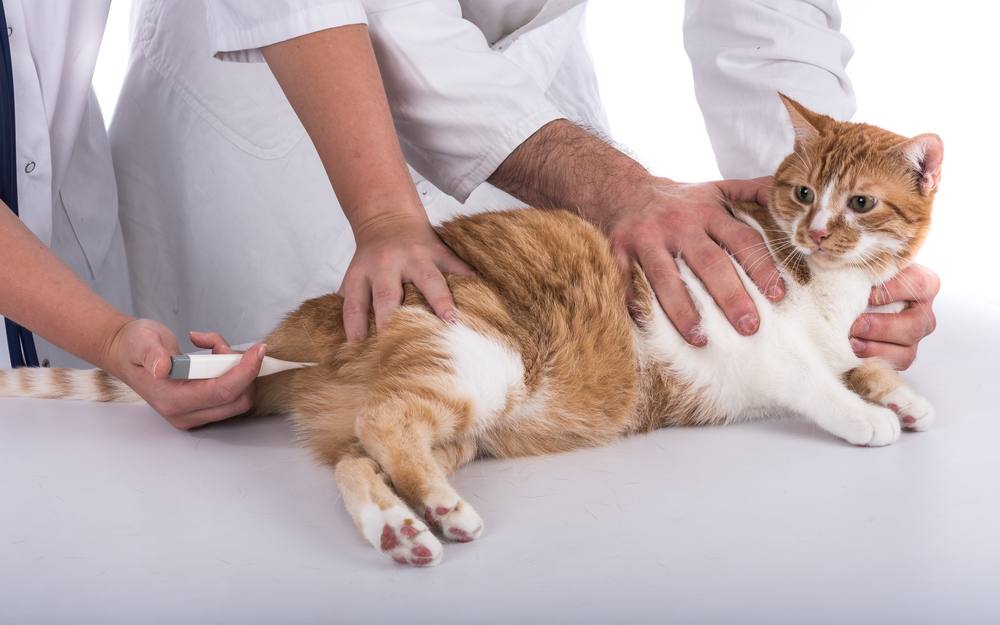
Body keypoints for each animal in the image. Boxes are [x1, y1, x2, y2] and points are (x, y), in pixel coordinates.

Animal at [0, 95, 940, 568]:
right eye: (800, 193)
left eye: (858, 202)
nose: (814, 228)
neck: (825, 283)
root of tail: (328, 333)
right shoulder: (750, 334)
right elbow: (814, 380)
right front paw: (868, 415)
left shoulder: (840, 331)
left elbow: (857, 362)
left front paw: (898, 390)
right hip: (477, 358)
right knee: (383, 425)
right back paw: (441, 515)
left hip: (461, 423)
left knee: (358, 455)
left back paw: (406, 528)